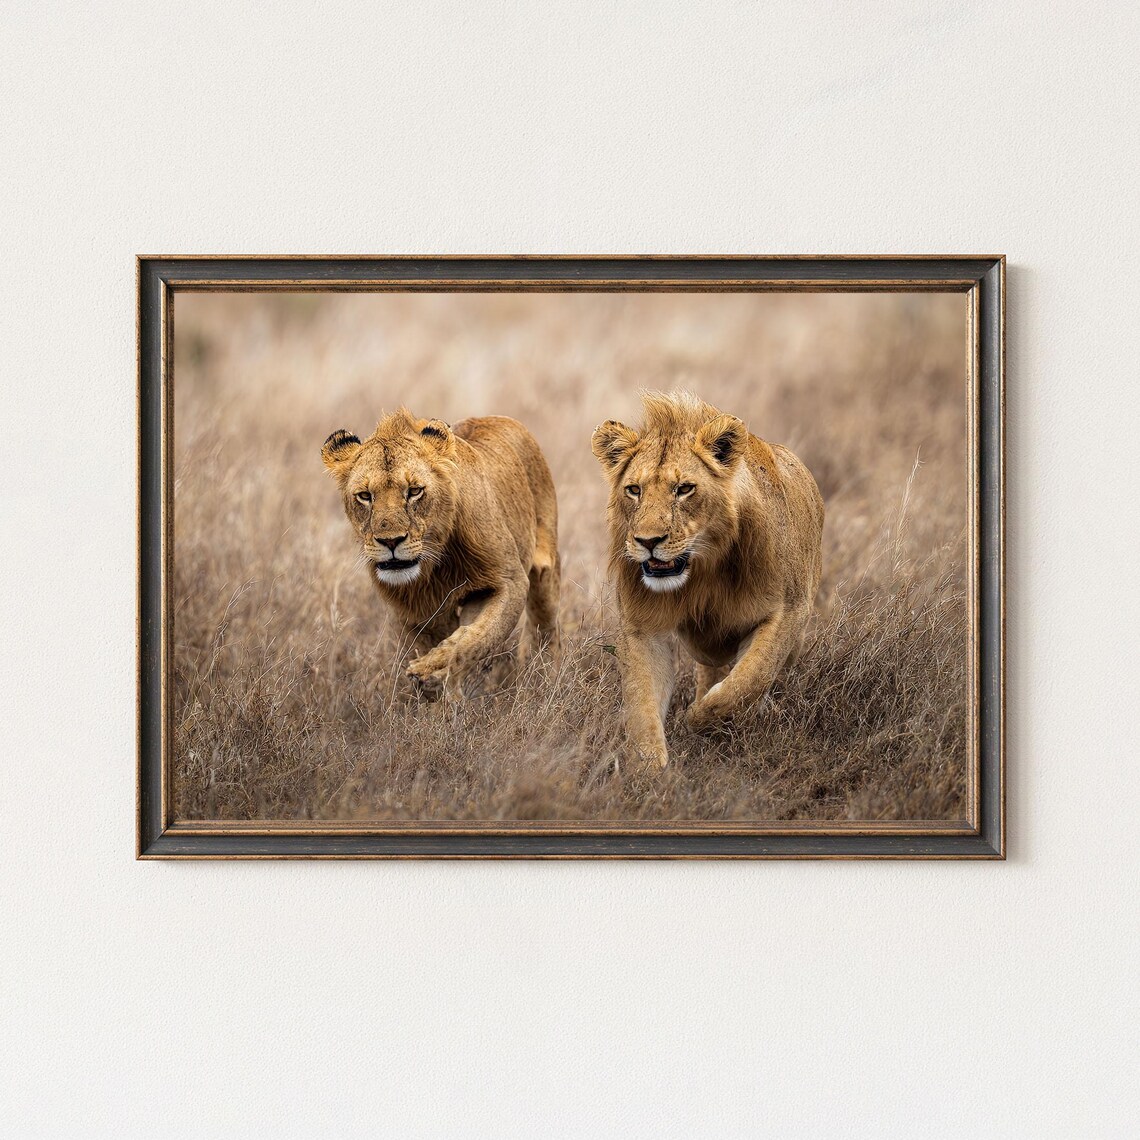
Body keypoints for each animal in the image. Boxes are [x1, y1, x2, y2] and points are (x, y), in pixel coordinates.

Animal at [322, 410, 560, 693]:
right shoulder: (416, 611)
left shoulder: (509, 581)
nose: (391, 541)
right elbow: (463, 639)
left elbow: (477, 639)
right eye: (365, 496)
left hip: (544, 570)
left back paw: (548, 674)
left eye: (414, 491)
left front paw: (431, 670)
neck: (434, 566)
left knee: (544, 623)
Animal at [591, 391, 823, 769]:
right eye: (634, 489)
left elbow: (749, 679)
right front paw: (648, 770)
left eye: (684, 488)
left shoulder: (789, 611)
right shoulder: (642, 627)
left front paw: (701, 718)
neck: (703, 573)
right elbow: (642, 704)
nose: (648, 541)